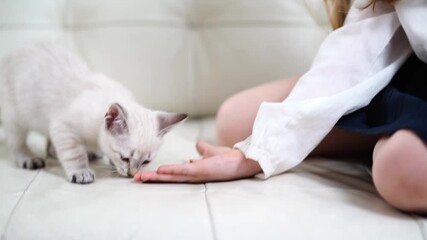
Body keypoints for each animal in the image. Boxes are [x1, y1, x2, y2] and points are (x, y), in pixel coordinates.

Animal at [0, 42, 187, 184]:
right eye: (124, 158)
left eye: (146, 161)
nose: (131, 174)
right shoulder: (63, 127)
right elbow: (74, 154)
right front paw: (81, 171)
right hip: (16, 119)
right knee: (17, 144)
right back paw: (29, 158)